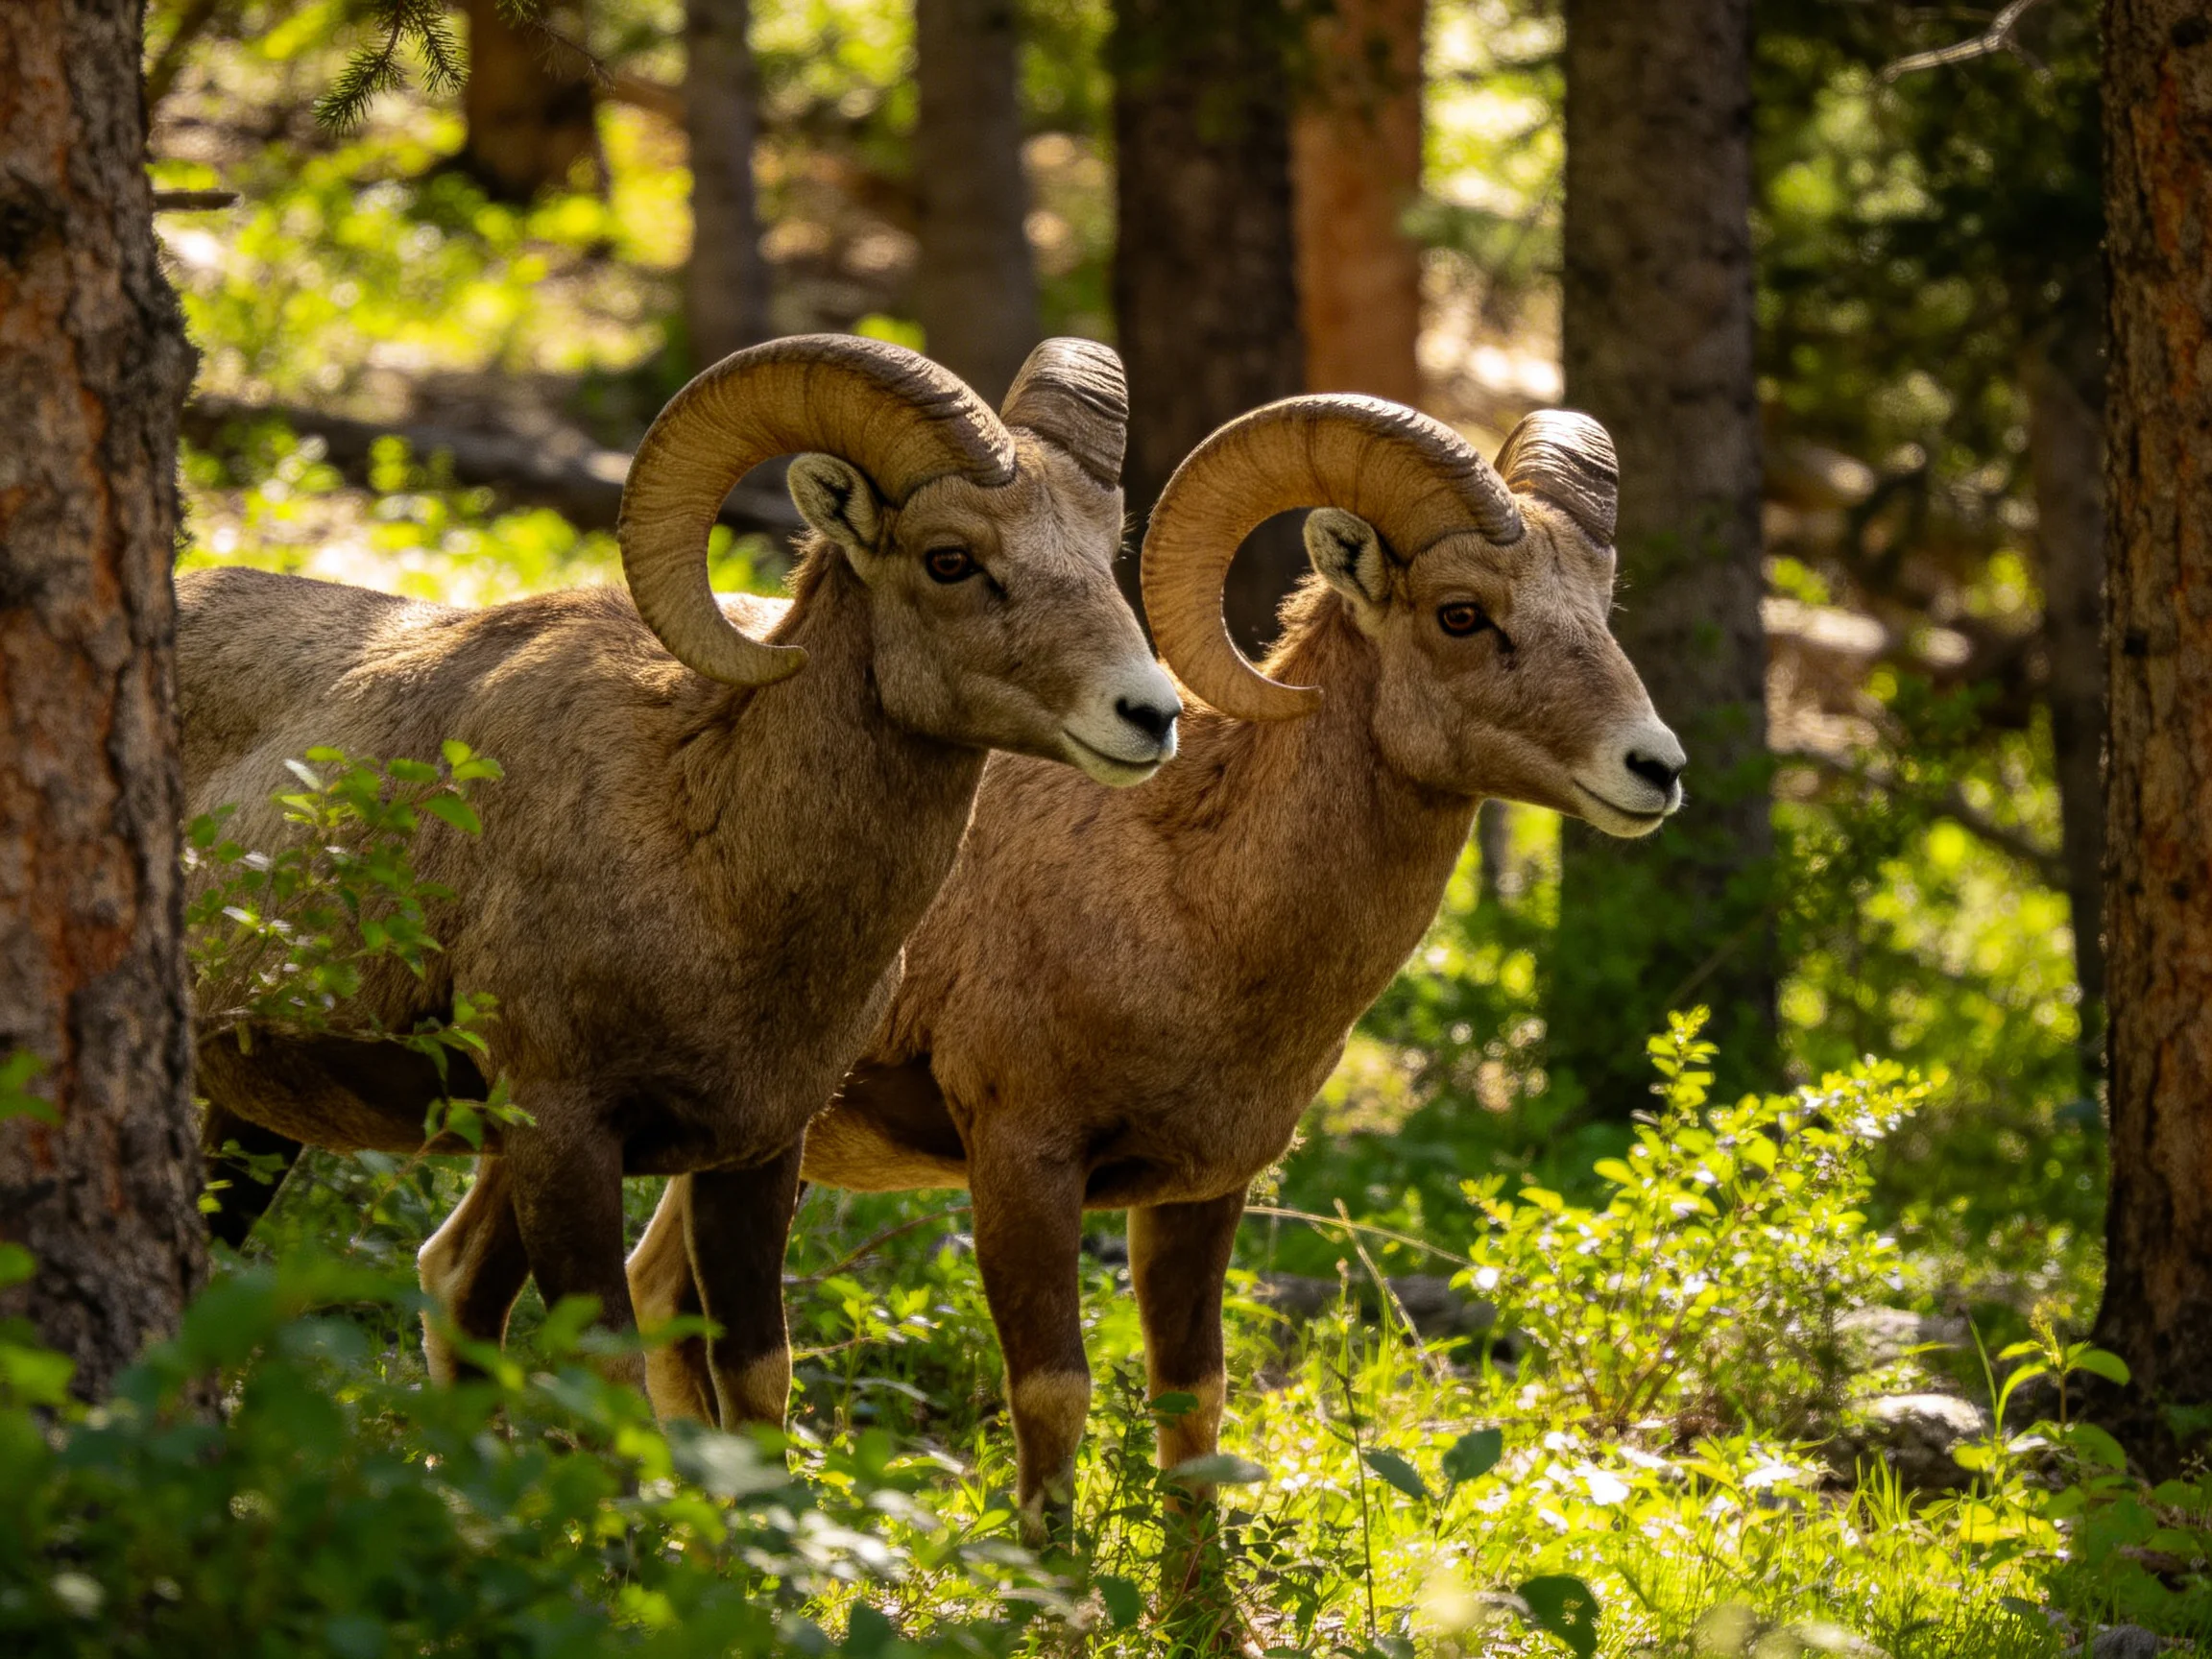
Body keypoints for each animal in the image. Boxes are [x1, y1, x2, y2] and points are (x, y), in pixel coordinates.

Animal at [181, 332, 1182, 1406]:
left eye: (1106, 553)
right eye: (950, 559)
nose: (1150, 714)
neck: (719, 871)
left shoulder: (759, 1151)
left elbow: (755, 1375)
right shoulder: (563, 1135)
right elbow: (606, 1370)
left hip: (258, 1123)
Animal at [622, 393, 1685, 1532]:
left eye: (1599, 606)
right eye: (1460, 614)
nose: (1656, 769)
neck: (1187, 903)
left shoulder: (1203, 1192)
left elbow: (1195, 1410)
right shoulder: (1024, 1163)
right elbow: (1055, 1396)